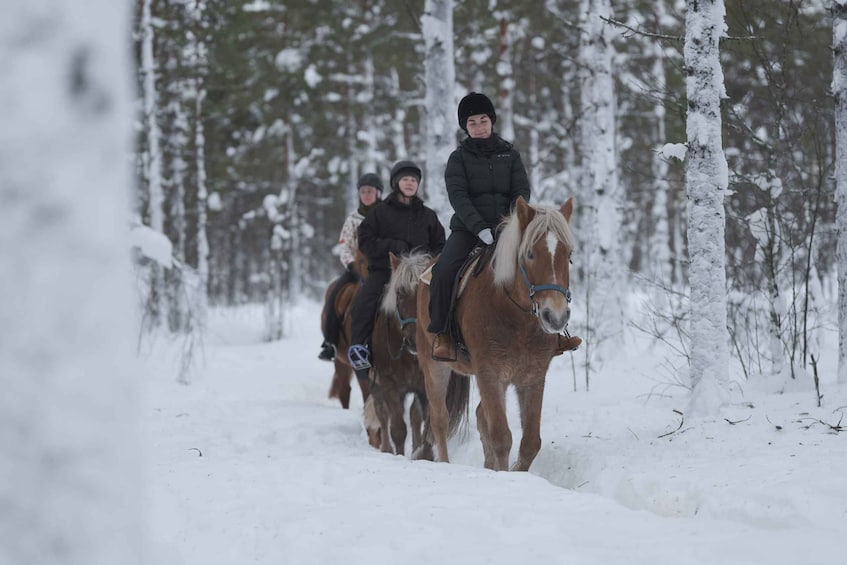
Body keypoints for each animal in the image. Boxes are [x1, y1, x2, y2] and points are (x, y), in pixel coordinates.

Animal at [416, 196, 576, 470]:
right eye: (530, 254)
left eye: (568, 254)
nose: (555, 317)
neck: (516, 319)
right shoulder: (489, 374)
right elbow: (501, 437)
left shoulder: (533, 377)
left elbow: (530, 442)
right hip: (433, 365)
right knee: (439, 419)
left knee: (480, 416)